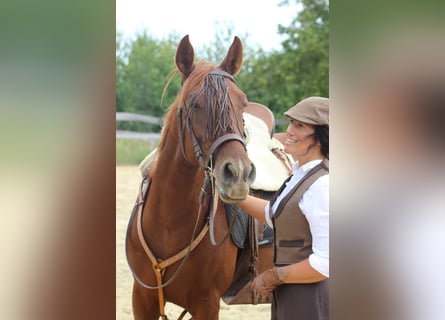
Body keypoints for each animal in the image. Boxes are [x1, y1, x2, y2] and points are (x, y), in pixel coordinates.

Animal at [125, 33, 256, 318]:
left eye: (243, 104)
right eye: (195, 104)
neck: (169, 225)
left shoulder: (207, 302)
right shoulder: (142, 298)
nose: (238, 173)